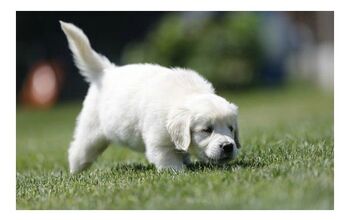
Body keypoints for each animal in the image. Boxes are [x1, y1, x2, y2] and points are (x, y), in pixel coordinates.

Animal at [60, 21, 241, 174]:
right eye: (207, 130)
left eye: (231, 128)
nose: (228, 146)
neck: (185, 94)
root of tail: (105, 72)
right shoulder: (159, 139)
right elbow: (167, 158)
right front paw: (177, 171)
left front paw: (186, 160)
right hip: (91, 131)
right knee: (78, 150)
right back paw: (75, 172)